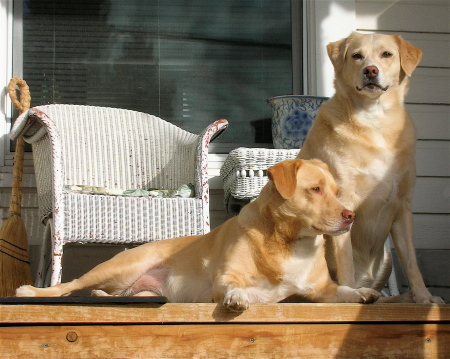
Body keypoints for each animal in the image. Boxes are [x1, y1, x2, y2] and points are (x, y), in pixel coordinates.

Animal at [15, 159, 380, 310]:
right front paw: (241, 297)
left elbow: (343, 290)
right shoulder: (226, 277)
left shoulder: (321, 291)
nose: (351, 215)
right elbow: (237, 287)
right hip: (121, 267)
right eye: (315, 189)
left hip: (139, 289)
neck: (288, 241)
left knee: (115, 294)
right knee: (69, 286)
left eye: (336, 191)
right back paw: (31, 292)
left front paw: (363, 292)